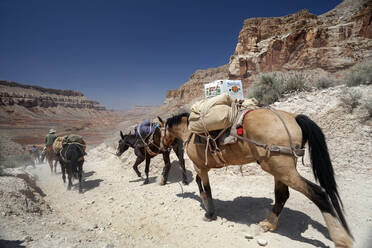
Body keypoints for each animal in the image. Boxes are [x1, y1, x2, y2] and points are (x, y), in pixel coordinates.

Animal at [160, 110, 352, 248]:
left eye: (161, 131)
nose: (162, 146)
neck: (190, 132)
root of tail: (294, 117)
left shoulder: (201, 167)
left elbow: (206, 188)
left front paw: (210, 213)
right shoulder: (200, 168)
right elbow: (200, 185)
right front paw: (205, 205)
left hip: (282, 170)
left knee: (318, 193)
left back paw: (341, 240)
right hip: (279, 170)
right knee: (282, 195)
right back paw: (268, 224)